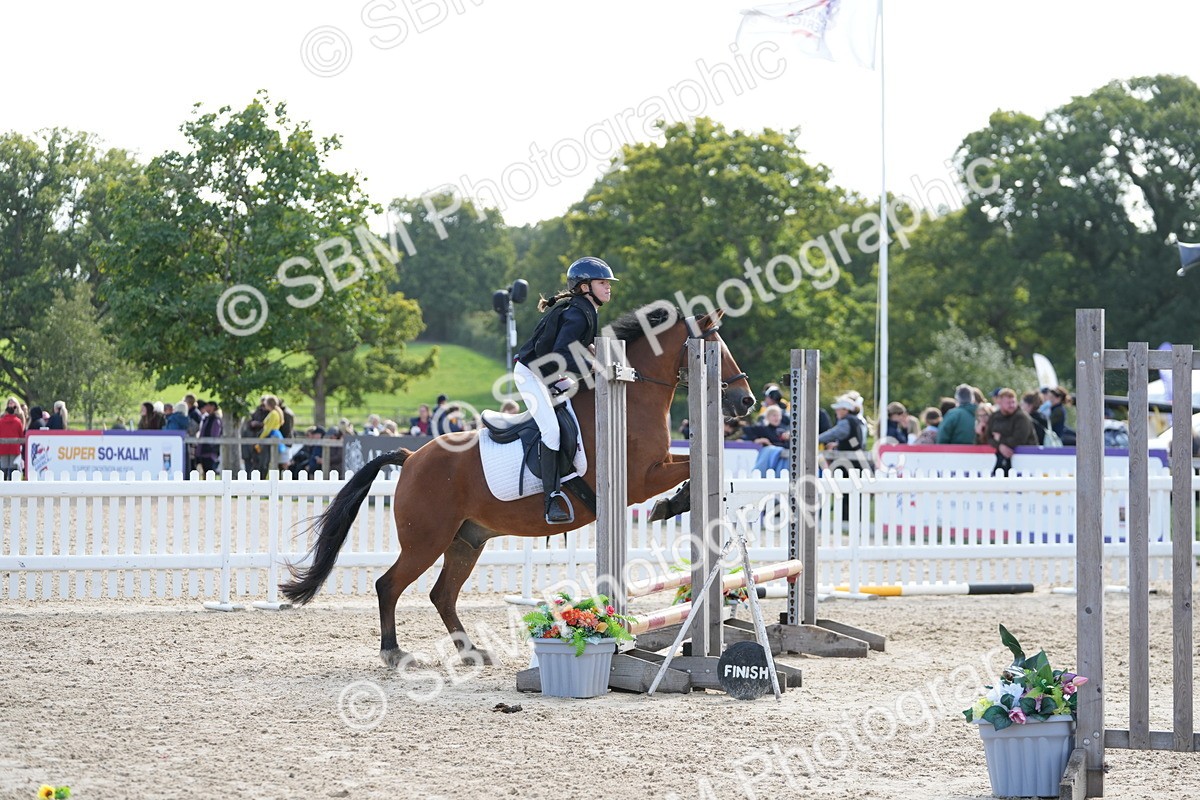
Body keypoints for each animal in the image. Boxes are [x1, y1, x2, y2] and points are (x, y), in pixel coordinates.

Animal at [280, 305, 754, 667]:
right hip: (426, 540)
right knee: (389, 586)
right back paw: (395, 653)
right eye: (712, 346)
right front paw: (671, 504)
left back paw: (472, 652)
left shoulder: (652, 469)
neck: (632, 397)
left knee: (442, 594)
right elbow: (688, 468)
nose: (746, 400)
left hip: (466, 540)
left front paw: (678, 501)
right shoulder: (640, 478)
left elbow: (695, 464)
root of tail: (412, 457)